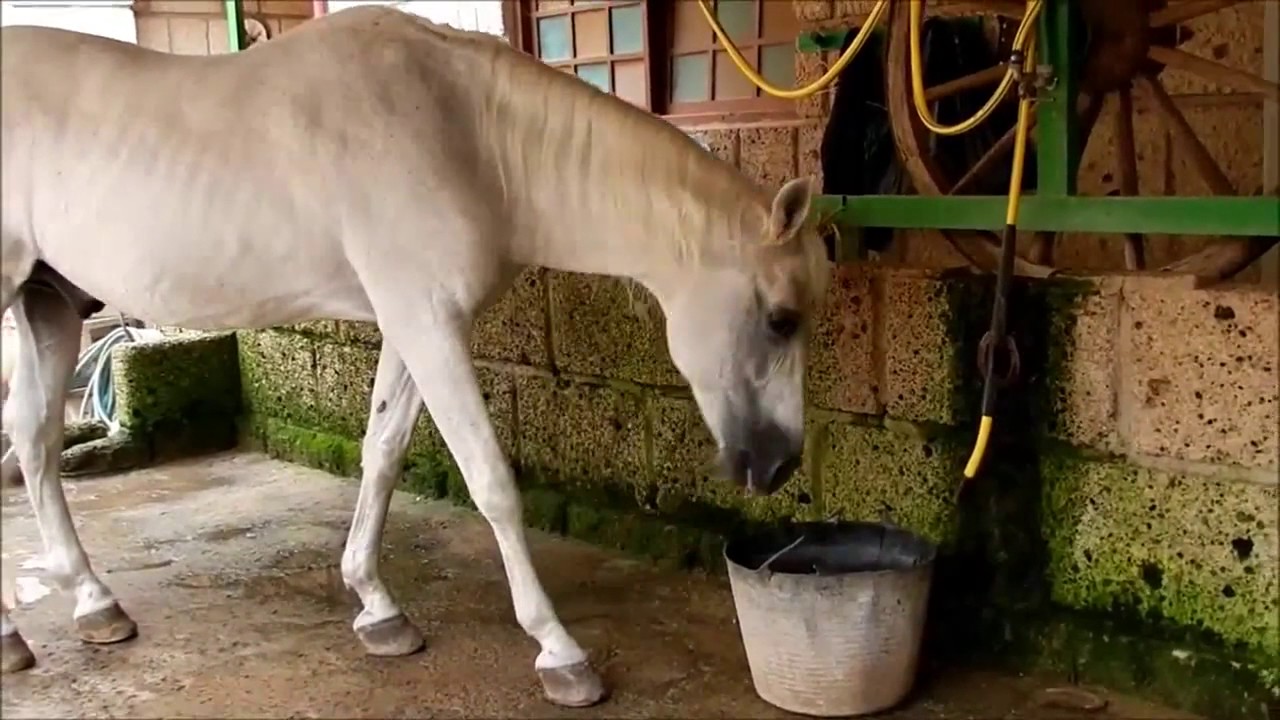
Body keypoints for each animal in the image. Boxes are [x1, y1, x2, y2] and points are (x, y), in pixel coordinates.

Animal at [0, 5, 831, 707]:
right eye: (781, 319)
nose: (780, 464)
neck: (469, 135)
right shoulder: (430, 325)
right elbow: (491, 481)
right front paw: (560, 651)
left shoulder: (407, 324)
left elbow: (382, 453)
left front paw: (376, 607)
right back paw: (17, 635)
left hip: (48, 303)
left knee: (34, 442)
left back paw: (93, 603)